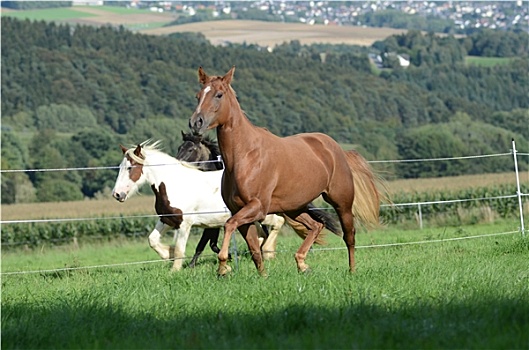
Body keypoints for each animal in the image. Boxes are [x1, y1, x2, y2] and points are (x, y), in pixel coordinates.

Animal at [188, 66, 386, 276]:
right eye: (198, 95)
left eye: (219, 94)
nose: (196, 123)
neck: (245, 157)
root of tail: (337, 149)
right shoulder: (240, 210)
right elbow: (254, 249)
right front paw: (262, 276)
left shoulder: (257, 207)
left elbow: (230, 225)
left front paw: (223, 266)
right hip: (294, 208)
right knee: (316, 225)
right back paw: (302, 263)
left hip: (342, 203)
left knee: (349, 236)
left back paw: (351, 271)